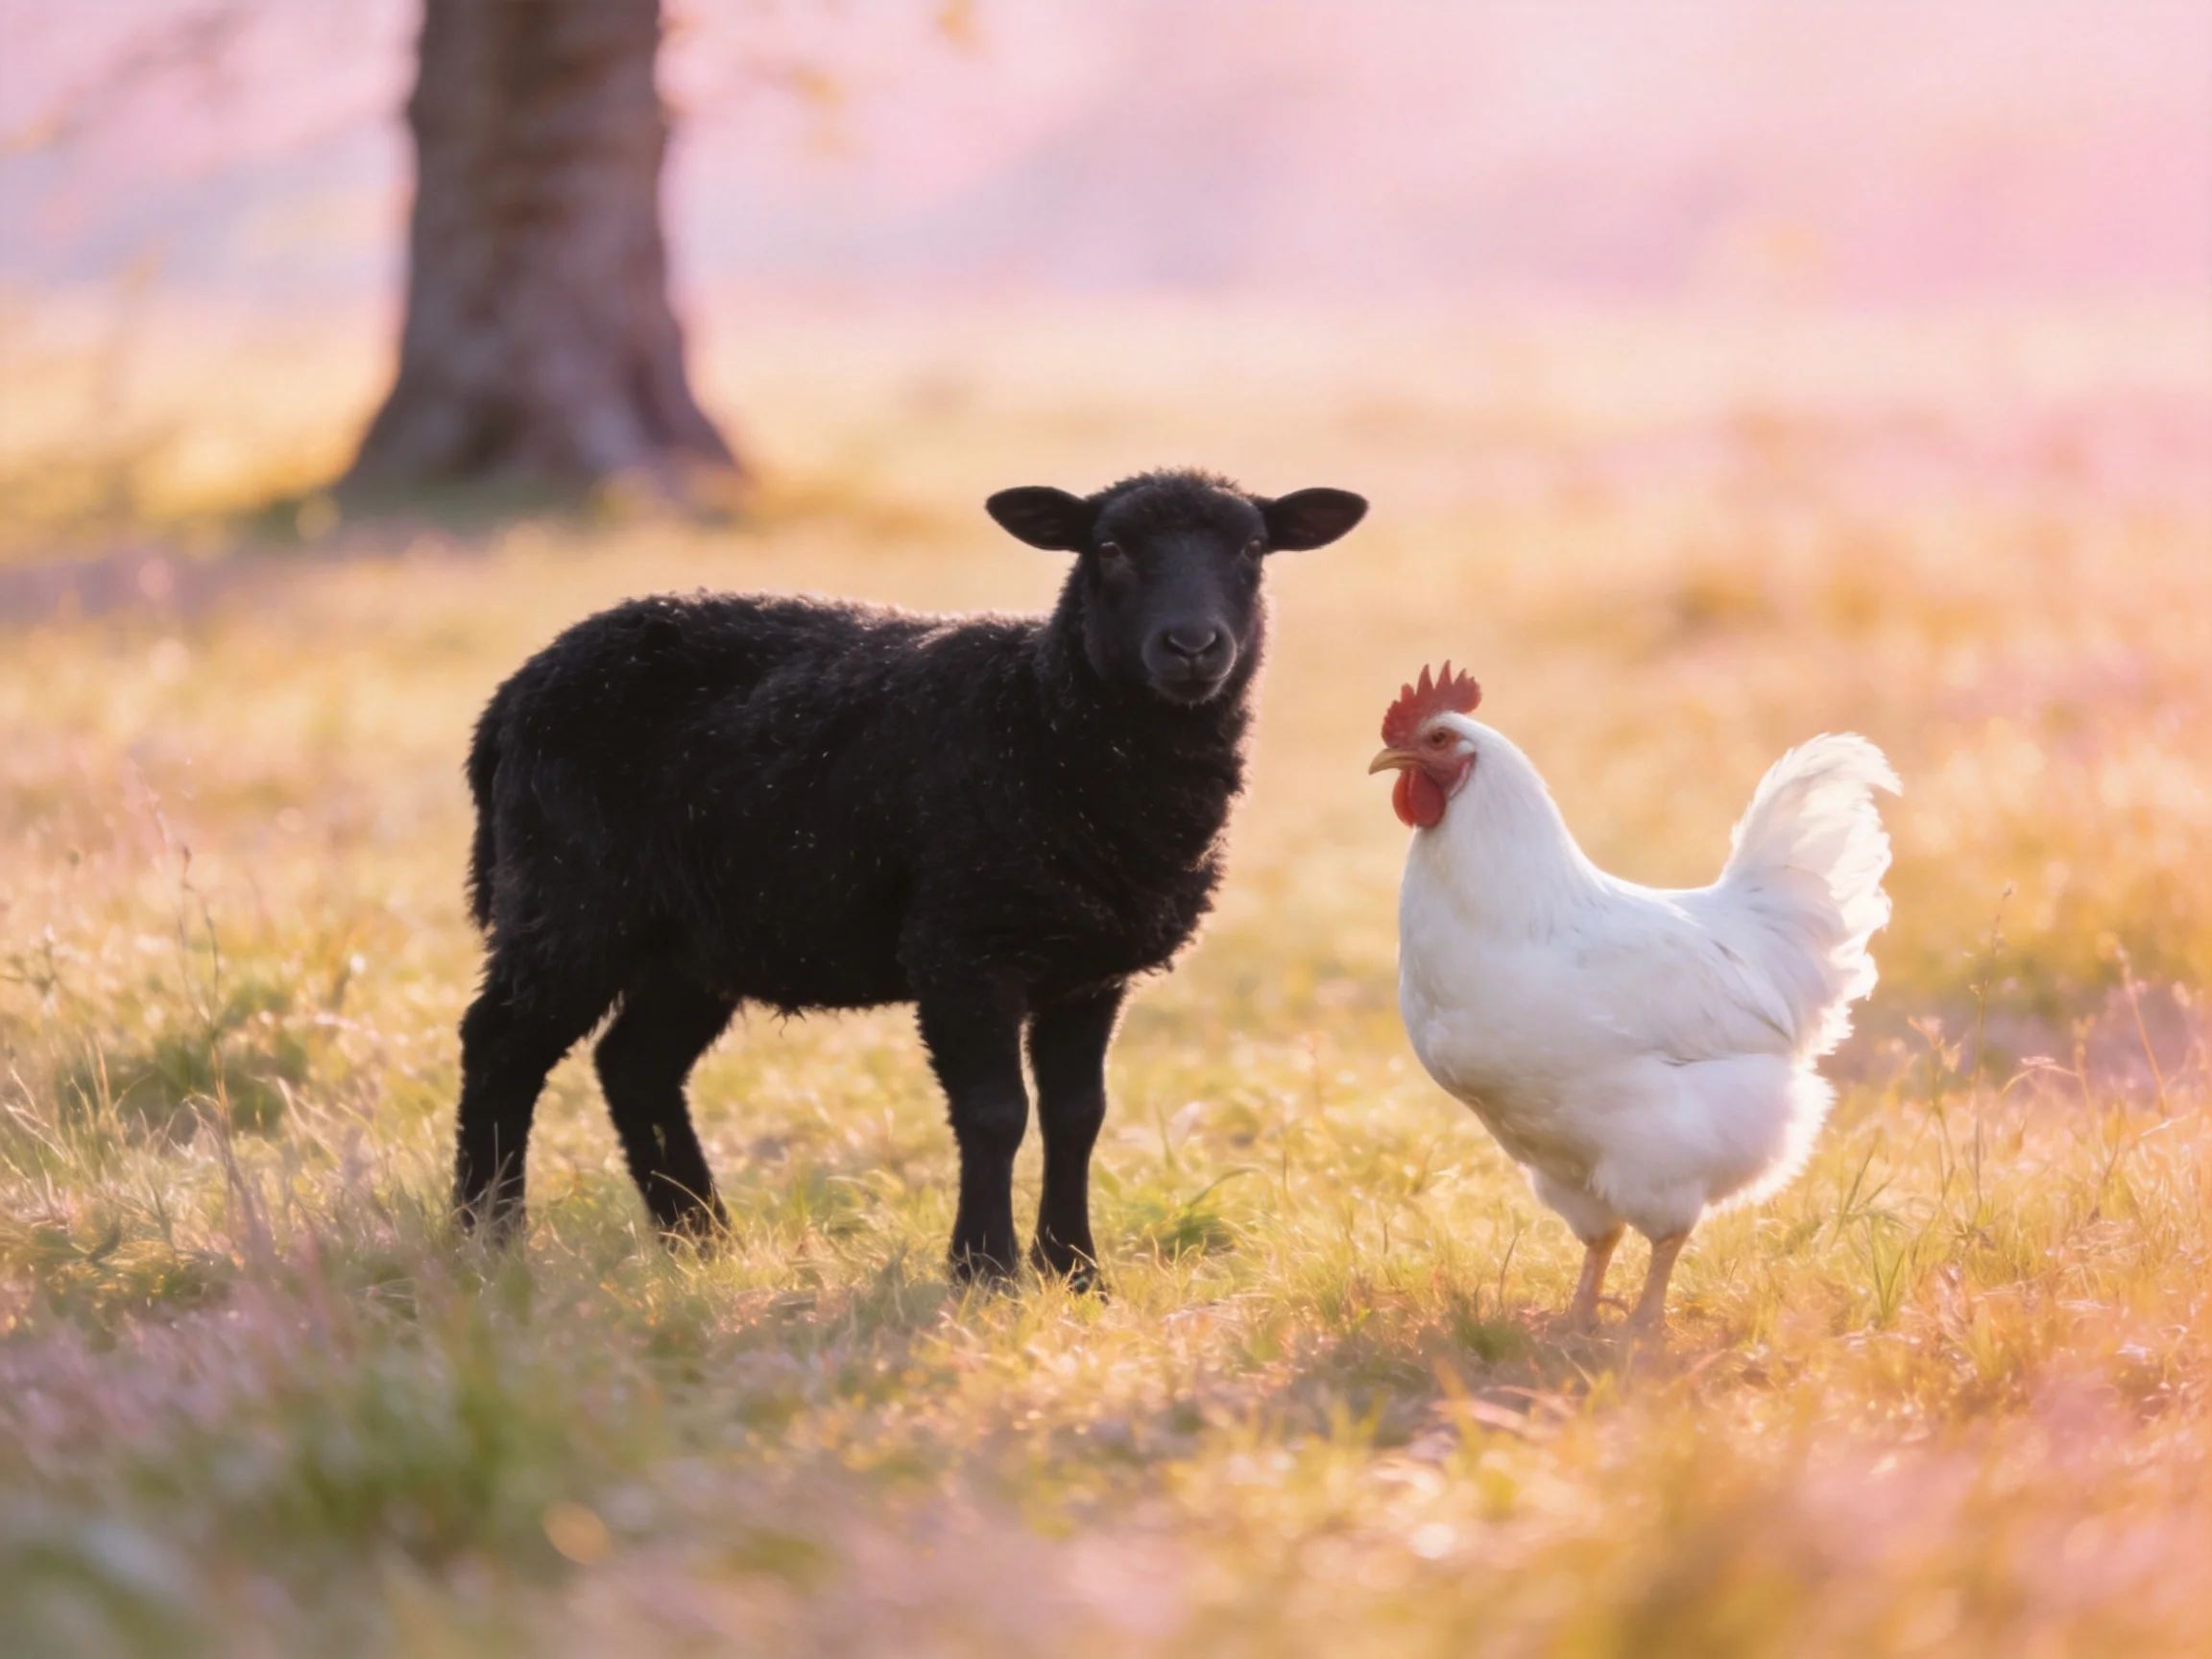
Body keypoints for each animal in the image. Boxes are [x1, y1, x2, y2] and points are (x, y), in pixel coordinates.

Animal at [454, 468, 1368, 1280]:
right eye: (1108, 548)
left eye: (1253, 548)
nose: (1192, 646)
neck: (1041, 720)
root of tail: (509, 697)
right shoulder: (963, 946)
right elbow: (995, 1113)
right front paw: (984, 1269)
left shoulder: (1090, 969)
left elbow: (1078, 1116)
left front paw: (1076, 1271)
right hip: (569, 896)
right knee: (499, 1047)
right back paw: (486, 1238)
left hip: (700, 936)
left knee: (635, 1066)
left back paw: (702, 1242)